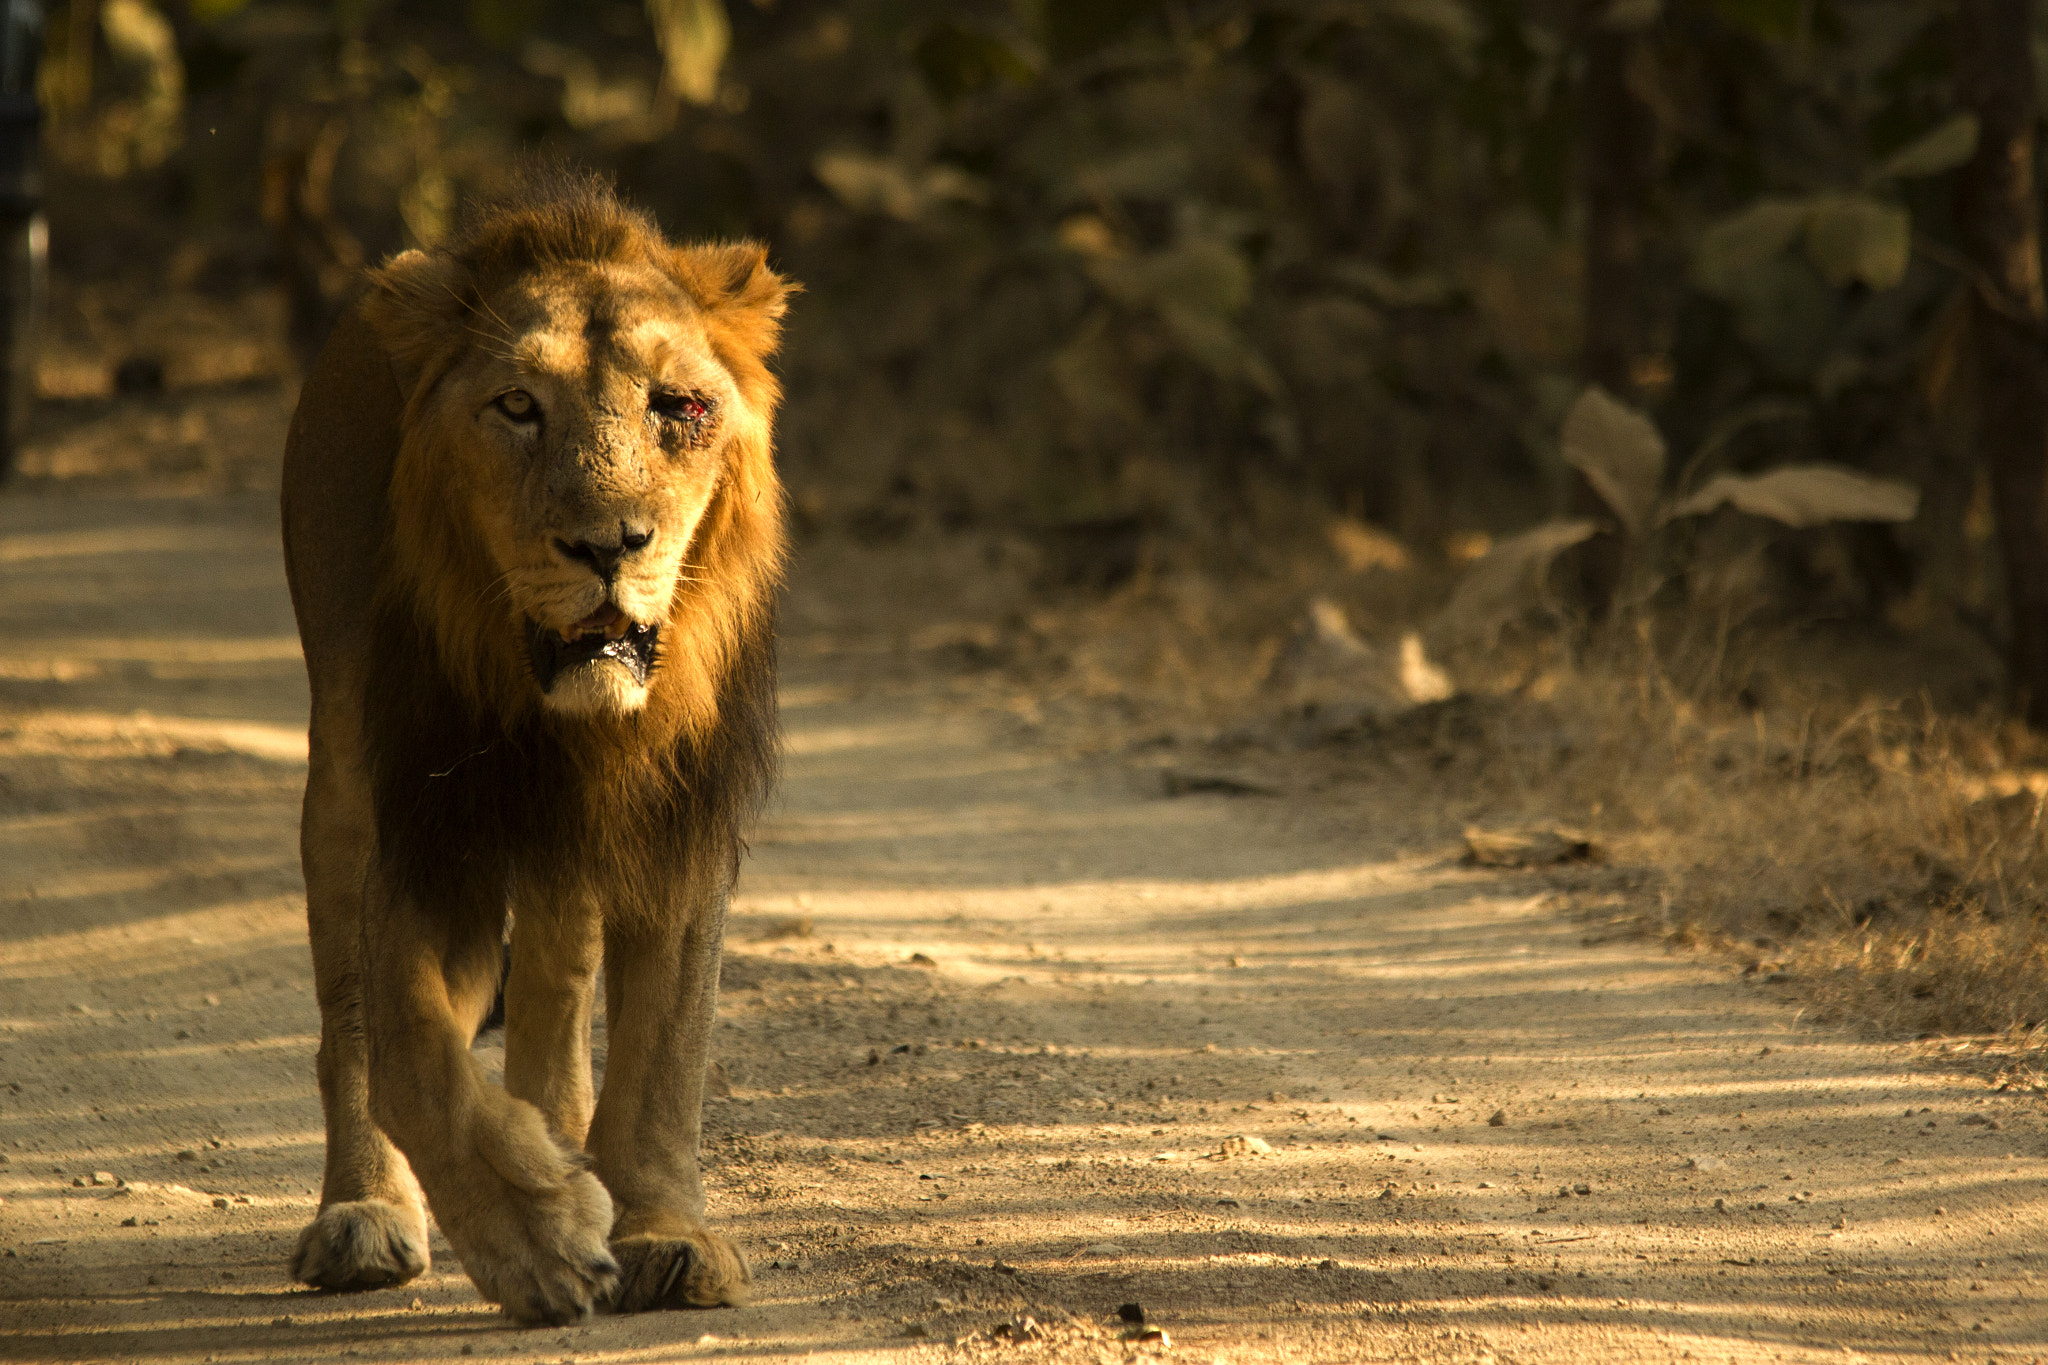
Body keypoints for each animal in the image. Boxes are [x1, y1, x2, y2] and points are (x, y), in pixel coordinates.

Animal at [278, 174, 791, 1326]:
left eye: (679, 408)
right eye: (517, 407)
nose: (608, 545)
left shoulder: (674, 811)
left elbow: (667, 1046)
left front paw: (661, 1228)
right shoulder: (424, 823)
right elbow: (408, 1047)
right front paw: (535, 1238)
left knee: (559, 982)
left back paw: (560, 1134)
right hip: (340, 771)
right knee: (347, 1018)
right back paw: (364, 1212)